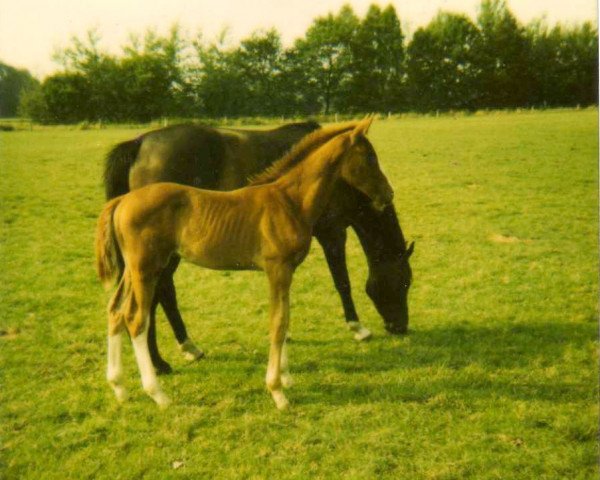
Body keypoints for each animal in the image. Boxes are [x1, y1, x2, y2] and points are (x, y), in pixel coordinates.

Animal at [96, 117, 396, 408]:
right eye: (370, 157)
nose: (388, 194)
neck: (289, 200)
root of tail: (122, 200)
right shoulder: (278, 268)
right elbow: (278, 322)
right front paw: (277, 392)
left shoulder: (287, 271)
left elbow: (285, 320)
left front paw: (285, 377)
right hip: (147, 268)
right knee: (136, 318)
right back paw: (158, 392)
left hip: (133, 271)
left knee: (115, 311)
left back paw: (119, 387)